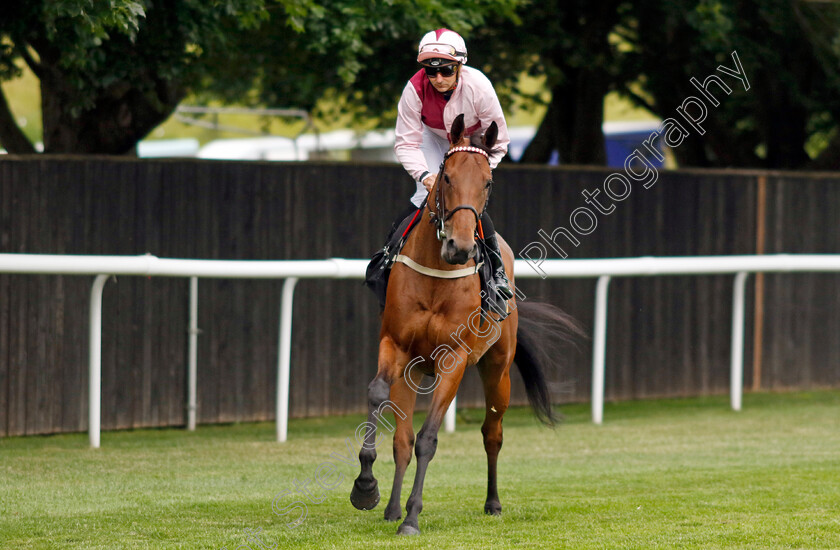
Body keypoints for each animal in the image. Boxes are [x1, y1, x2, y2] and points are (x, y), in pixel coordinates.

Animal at [352, 113, 580, 540]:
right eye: (446, 177)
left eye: (487, 182)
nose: (459, 247)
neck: (437, 274)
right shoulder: (396, 345)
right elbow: (379, 398)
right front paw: (367, 487)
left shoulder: (453, 359)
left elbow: (429, 438)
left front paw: (412, 518)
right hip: (413, 372)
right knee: (402, 440)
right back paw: (390, 506)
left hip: (498, 370)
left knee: (492, 433)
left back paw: (492, 502)